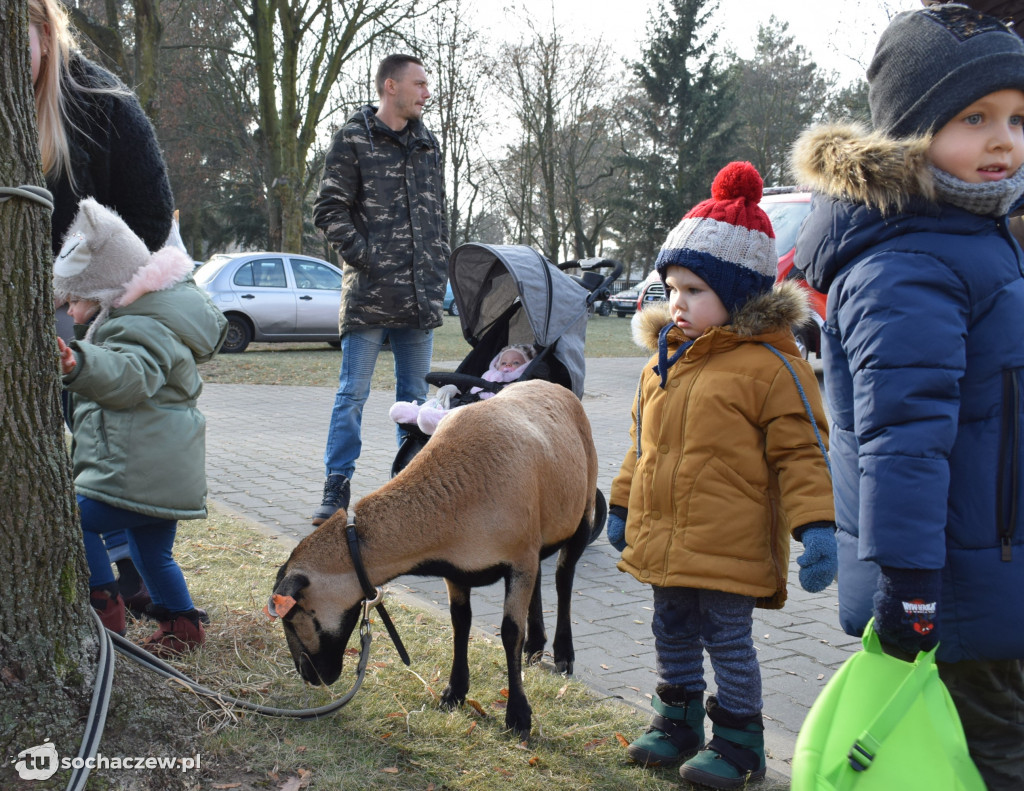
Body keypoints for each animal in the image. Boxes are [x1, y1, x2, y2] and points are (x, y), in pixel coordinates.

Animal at [268, 377, 598, 733]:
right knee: (540, 580)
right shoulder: (460, 569)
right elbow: (460, 623)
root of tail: (553, 384)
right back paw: (536, 647)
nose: (309, 675)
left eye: (292, 615)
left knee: (564, 578)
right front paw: (454, 693)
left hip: (583, 511)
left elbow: (510, 632)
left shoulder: (518, 559)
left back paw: (563, 654)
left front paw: (518, 716)